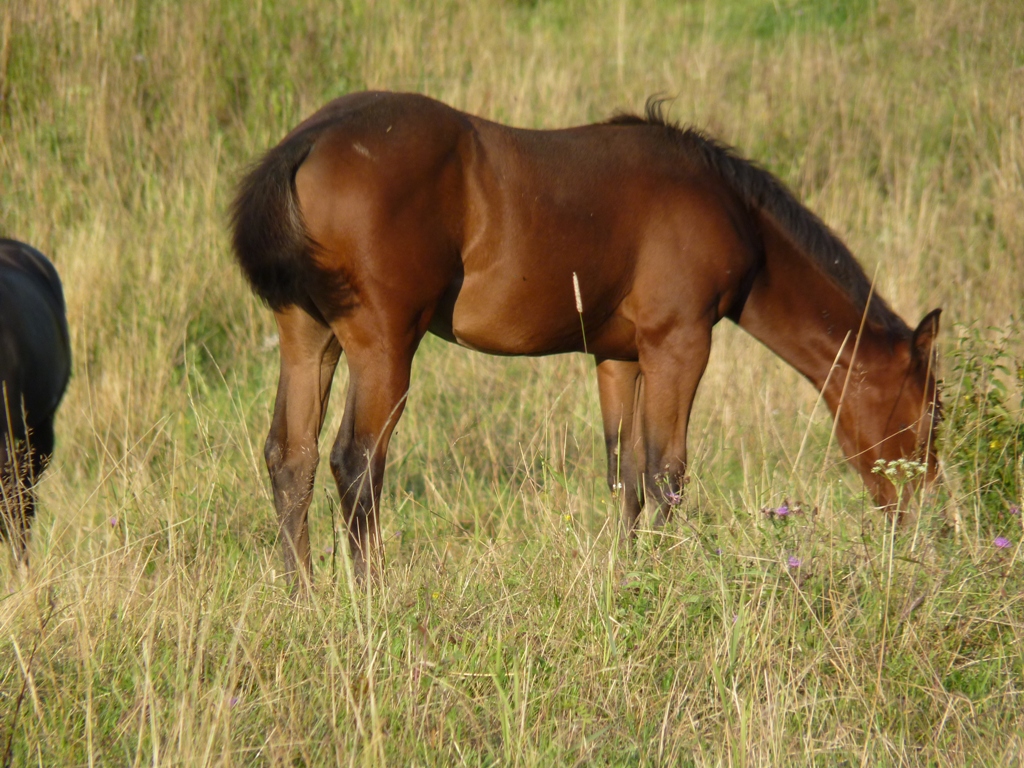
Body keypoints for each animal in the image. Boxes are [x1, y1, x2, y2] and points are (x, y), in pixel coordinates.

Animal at [232, 91, 942, 581]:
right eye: (930, 411)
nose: (919, 518)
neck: (729, 209)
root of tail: (305, 143)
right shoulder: (680, 343)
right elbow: (666, 471)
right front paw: (662, 575)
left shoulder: (618, 356)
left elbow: (625, 475)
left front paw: (627, 572)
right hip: (384, 346)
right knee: (356, 462)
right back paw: (370, 593)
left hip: (310, 338)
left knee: (290, 457)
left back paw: (305, 593)